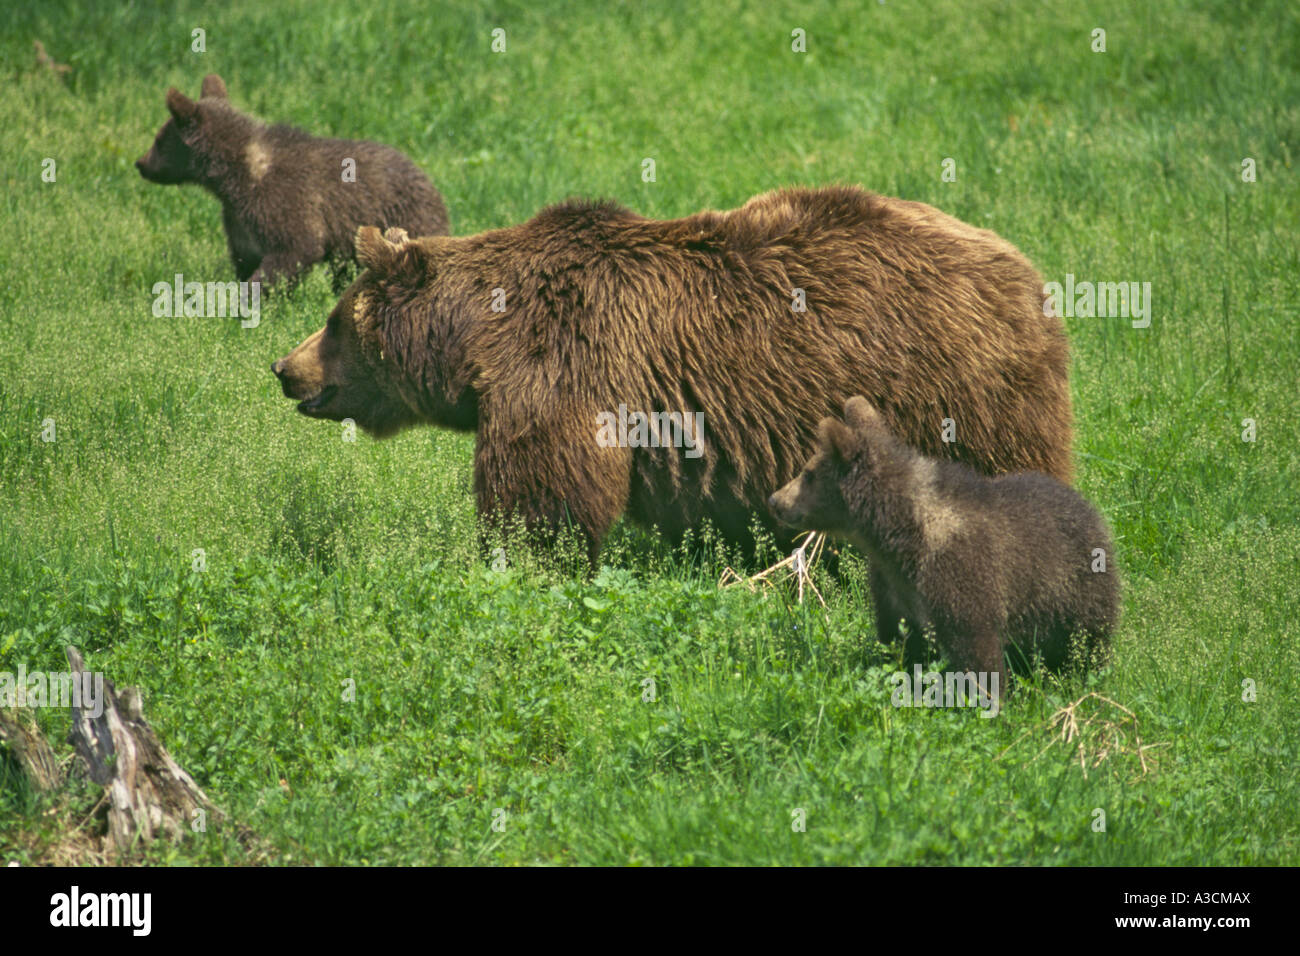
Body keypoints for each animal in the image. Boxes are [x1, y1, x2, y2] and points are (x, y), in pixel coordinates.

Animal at [136, 73, 449, 288]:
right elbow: (245, 257)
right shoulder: (238, 219)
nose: (140, 163)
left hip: (409, 217)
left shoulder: (284, 201)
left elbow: (294, 249)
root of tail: (431, 183)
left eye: (159, 140)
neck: (233, 179)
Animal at [271, 186, 1073, 565]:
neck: (476, 340)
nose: (284, 368)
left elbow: (544, 492)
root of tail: (1029, 275)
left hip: (960, 390)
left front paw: (522, 562)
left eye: (335, 321)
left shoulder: (564, 364)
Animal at [768, 396, 1119, 695]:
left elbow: (977, 651)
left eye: (808, 474)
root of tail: (1089, 507)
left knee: (1086, 642)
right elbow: (899, 642)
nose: (776, 500)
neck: (898, 535)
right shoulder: (892, 587)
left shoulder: (962, 576)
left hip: (1075, 593)